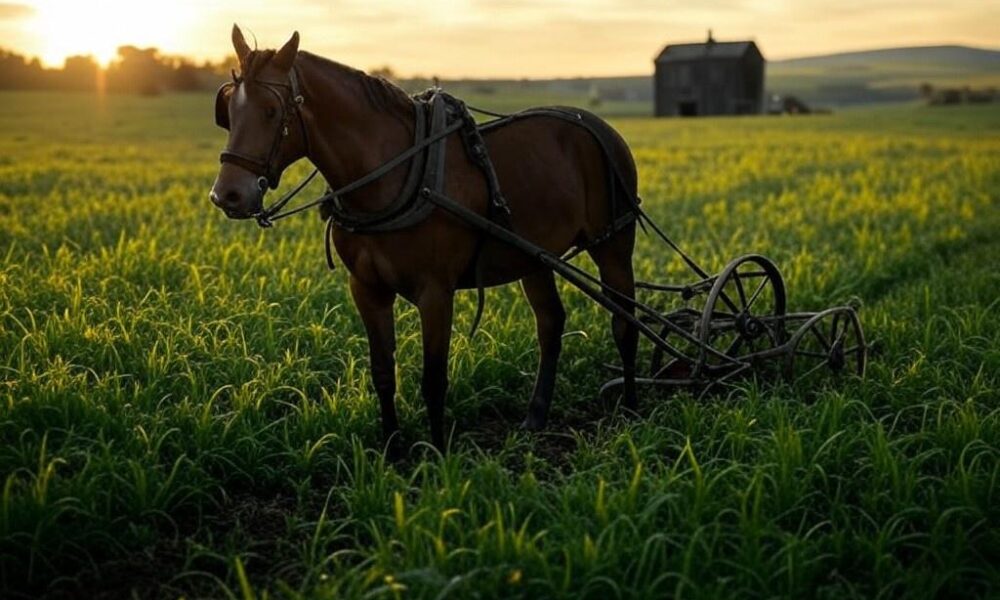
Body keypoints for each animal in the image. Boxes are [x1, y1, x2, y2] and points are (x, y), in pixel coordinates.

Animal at [209, 26, 639, 452]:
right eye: (229, 111)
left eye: (271, 110)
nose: (227, 195)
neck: (392, 173)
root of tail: (595, 123)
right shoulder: (366, 288)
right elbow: (383, 372)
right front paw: (391, 448)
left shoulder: (435, 291)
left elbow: (433, 379)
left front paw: (438, 455)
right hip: (533, 256)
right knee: (550, 324)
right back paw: (536, 415)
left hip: (614, 245)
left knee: (625, 323)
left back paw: (631, 413)